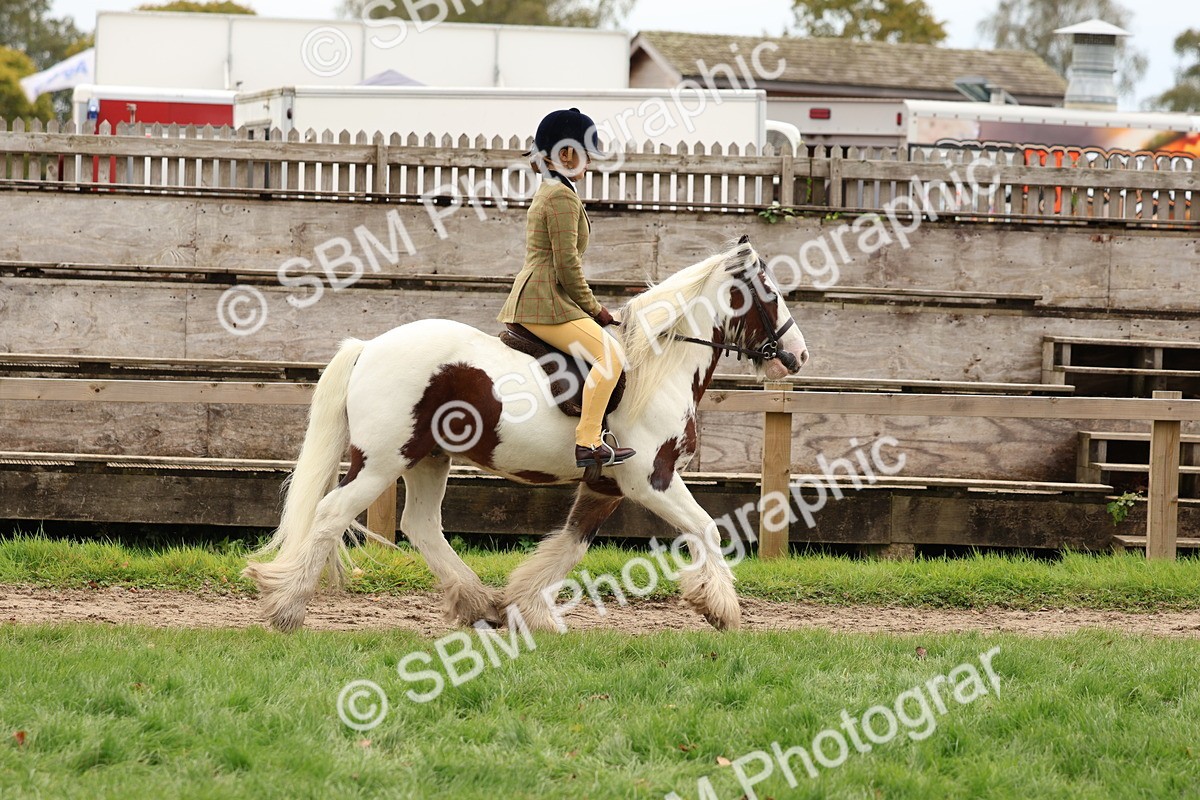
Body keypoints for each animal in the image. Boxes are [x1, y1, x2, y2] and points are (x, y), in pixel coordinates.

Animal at [243, 235, 809, 633]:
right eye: (772, 294)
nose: (799, 355)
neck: (660, 365)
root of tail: (369, 346)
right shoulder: (653, 480)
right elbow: (707, 528)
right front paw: (721, 608)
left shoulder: (605, 485)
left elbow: (570, 546)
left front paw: (527, 607)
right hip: (383, 461)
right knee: (331, 514)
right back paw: (286, 607)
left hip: (429, 459)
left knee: (421, 525)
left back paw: (481, 604)